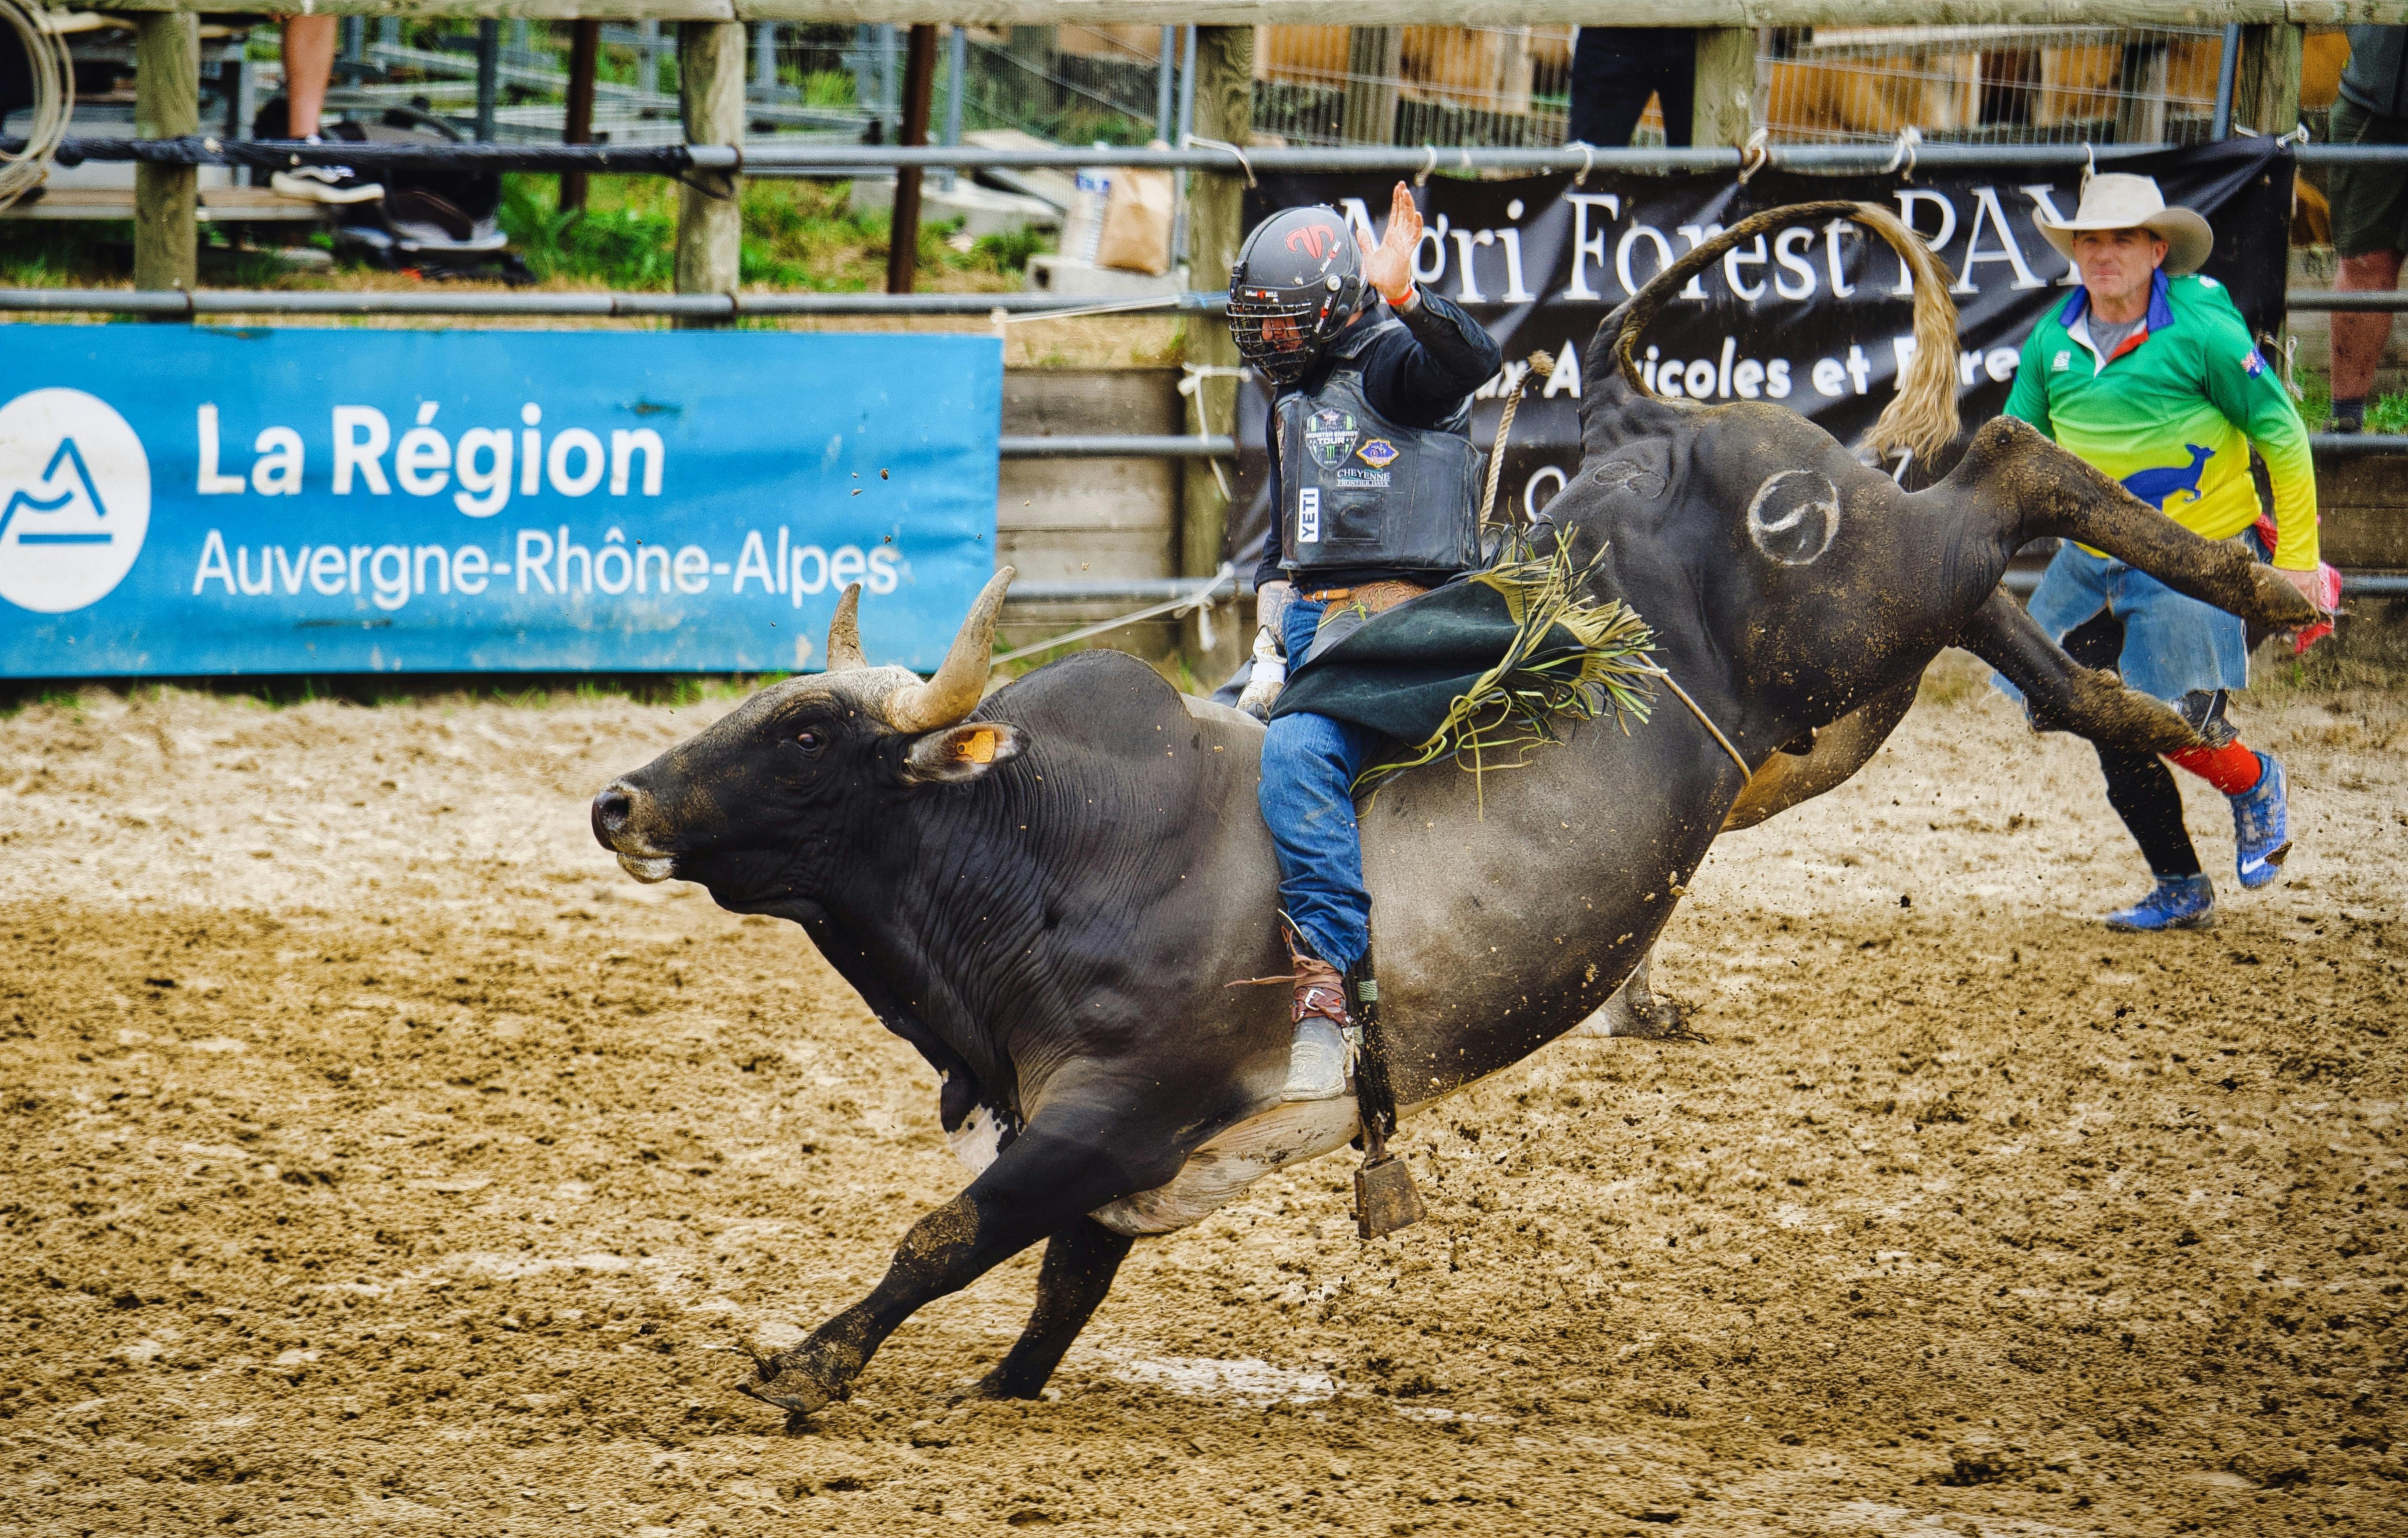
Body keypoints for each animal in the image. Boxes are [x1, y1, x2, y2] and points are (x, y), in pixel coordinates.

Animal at [587, 198, 2312, 1425]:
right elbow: (1053, 1294)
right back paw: (2191, 745)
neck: (1047, 853)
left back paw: (2267, 587)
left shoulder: (1106, 1115)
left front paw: (810, 1367)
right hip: (1867, 646)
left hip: (1862, 592)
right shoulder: (1105, 1163)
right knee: (2015, 593)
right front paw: (986, 1392)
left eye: (805, 729)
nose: (616, 800)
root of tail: (1661, 425)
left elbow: (949, 1238)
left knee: (2012, 464)